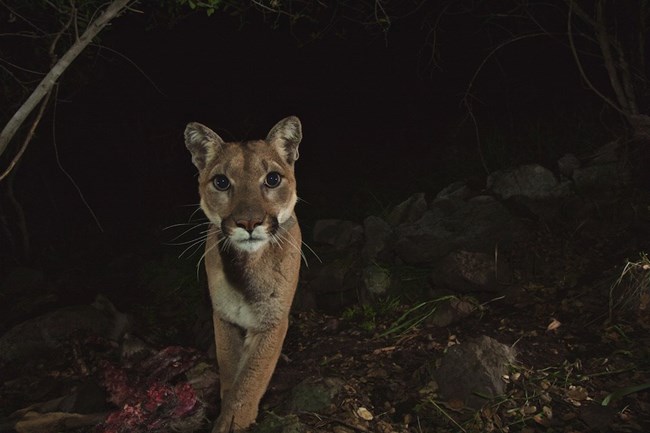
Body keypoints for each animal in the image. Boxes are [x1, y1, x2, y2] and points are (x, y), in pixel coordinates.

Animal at [184, 115, 302, 432]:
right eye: (221, 182)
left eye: (272, 179)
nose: (249, 223)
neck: (246, 266)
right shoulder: (224, 316)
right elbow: (231, 370)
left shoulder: (272, 319)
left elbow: (253, 374)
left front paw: (235, 419)